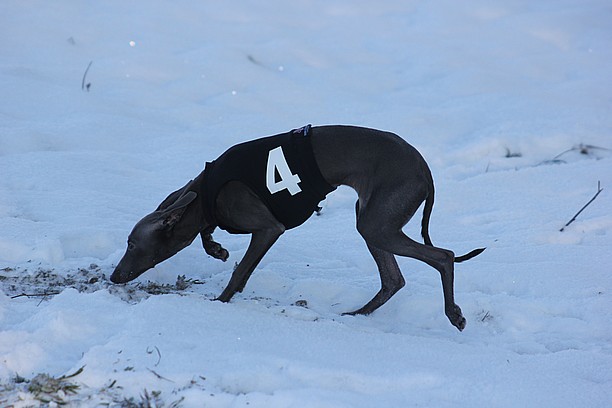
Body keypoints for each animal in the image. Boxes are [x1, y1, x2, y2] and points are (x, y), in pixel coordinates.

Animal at [110, 125, 482, 332]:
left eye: (131, 244)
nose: (113, 277)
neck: (206, 192)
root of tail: (425, 170)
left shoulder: (268, 228)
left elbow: (240, 273)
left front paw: (219, 304)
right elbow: (207, 236)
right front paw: (216, 249)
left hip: (377, 223)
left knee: (443, 256)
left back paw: (454, 314)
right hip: (374, 220)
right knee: (394, 280)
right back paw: (356, 316)